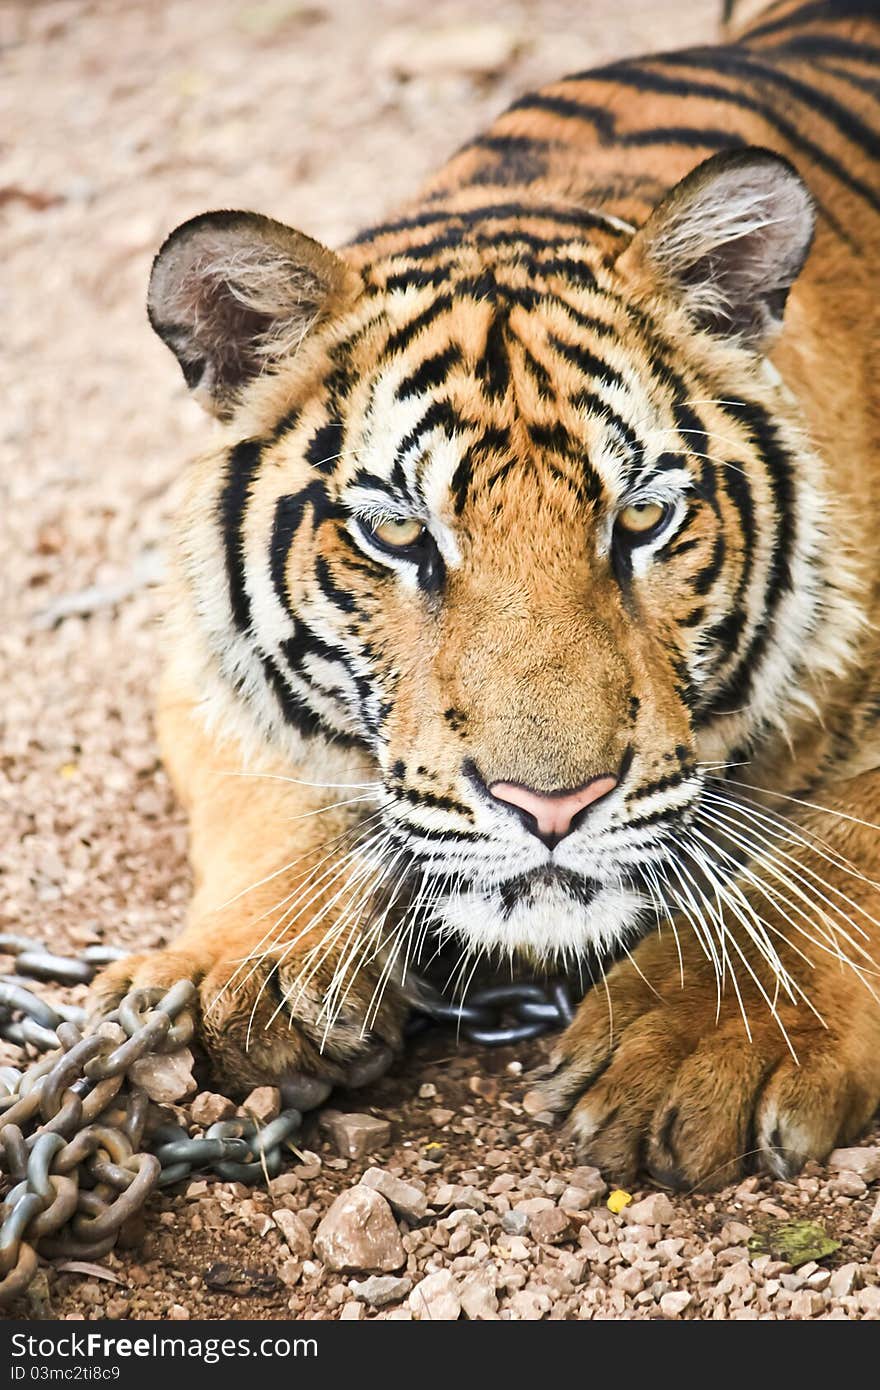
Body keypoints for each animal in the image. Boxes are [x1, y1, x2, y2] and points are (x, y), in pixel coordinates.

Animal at [94, 2, 878, 1195]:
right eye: (397, 533)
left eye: (642, 518)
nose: (551, 809)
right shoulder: (196, 663)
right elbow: (266, 783)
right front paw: (249, 966)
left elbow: (845, 845)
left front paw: (709, 1036)